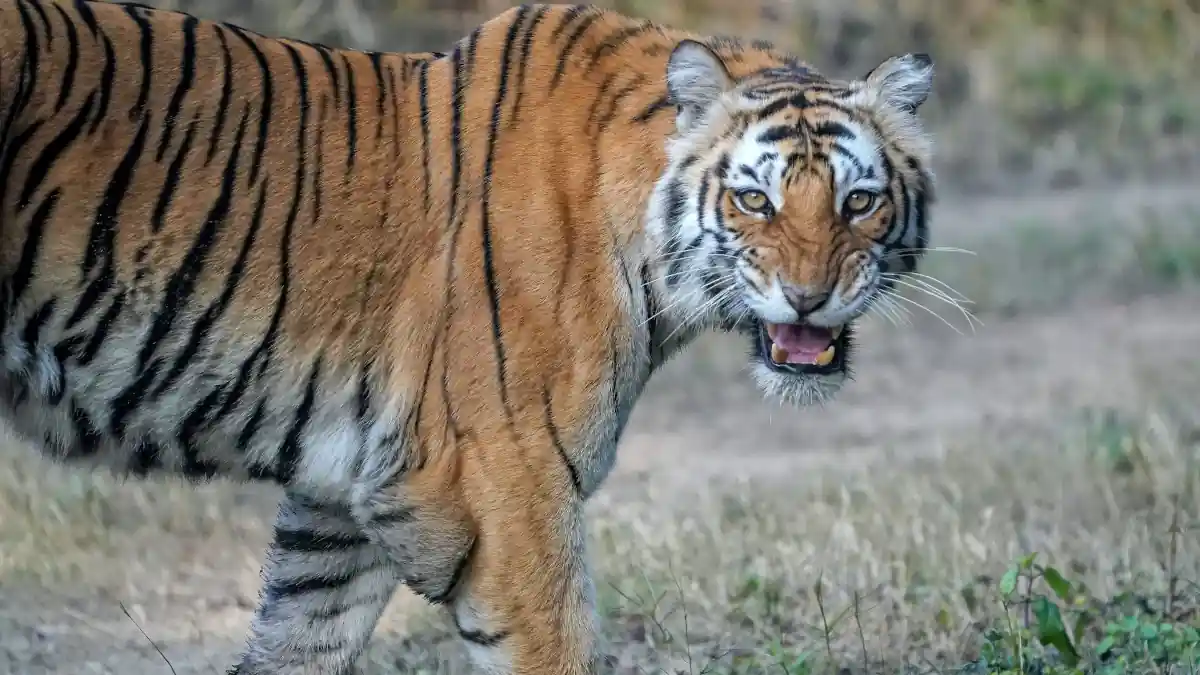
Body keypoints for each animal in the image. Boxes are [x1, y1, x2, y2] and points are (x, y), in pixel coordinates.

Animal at [0, 0, 935, 673]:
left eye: (858, 200)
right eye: (755, 201)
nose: (809, 299)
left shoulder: (346, 499)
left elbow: (297, 637)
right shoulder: (503, 481)